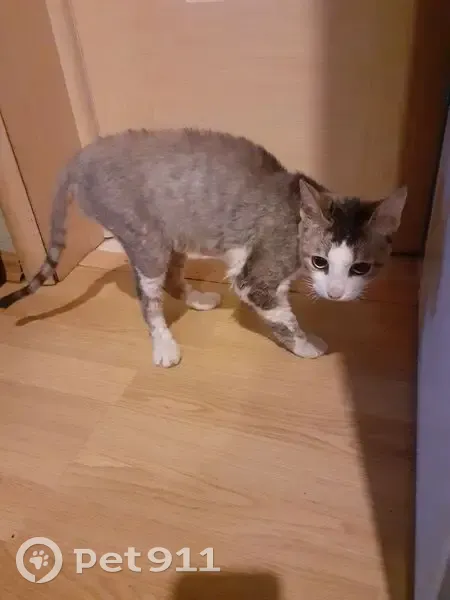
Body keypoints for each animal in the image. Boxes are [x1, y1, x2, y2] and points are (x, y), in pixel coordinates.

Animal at [0, 127, 407, 367]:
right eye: (320, 261)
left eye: (360, 268)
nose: (335, 293)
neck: (296, 220)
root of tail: (79, 157)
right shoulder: (254, 279)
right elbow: (285, 318)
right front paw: (306, 345)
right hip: (147, 239)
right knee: (148, 297)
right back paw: (164, 345)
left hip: (173, 233)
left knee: (171, 278)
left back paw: (197, 299)